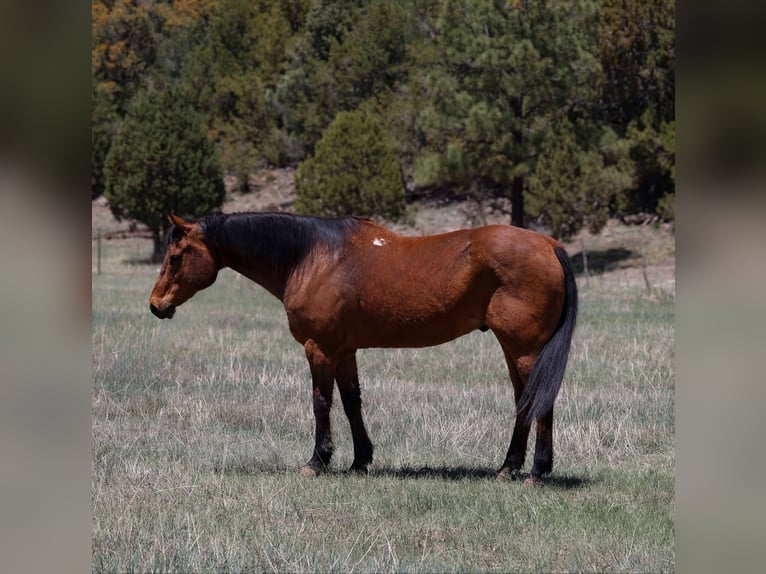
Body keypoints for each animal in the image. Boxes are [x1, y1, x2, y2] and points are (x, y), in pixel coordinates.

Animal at [150, 212, 577, 484]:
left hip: (525, 350)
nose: (156, 305)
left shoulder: (319, 348)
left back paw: (536, 472)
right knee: (525, 401)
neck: (313, 256)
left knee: (540, 401)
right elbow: (352, 402)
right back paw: (508, 468)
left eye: (175, 257)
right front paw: (360, 461)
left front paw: (317, 461)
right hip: (514, 349)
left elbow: (321, 402)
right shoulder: (344, 351)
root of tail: (549, 245)